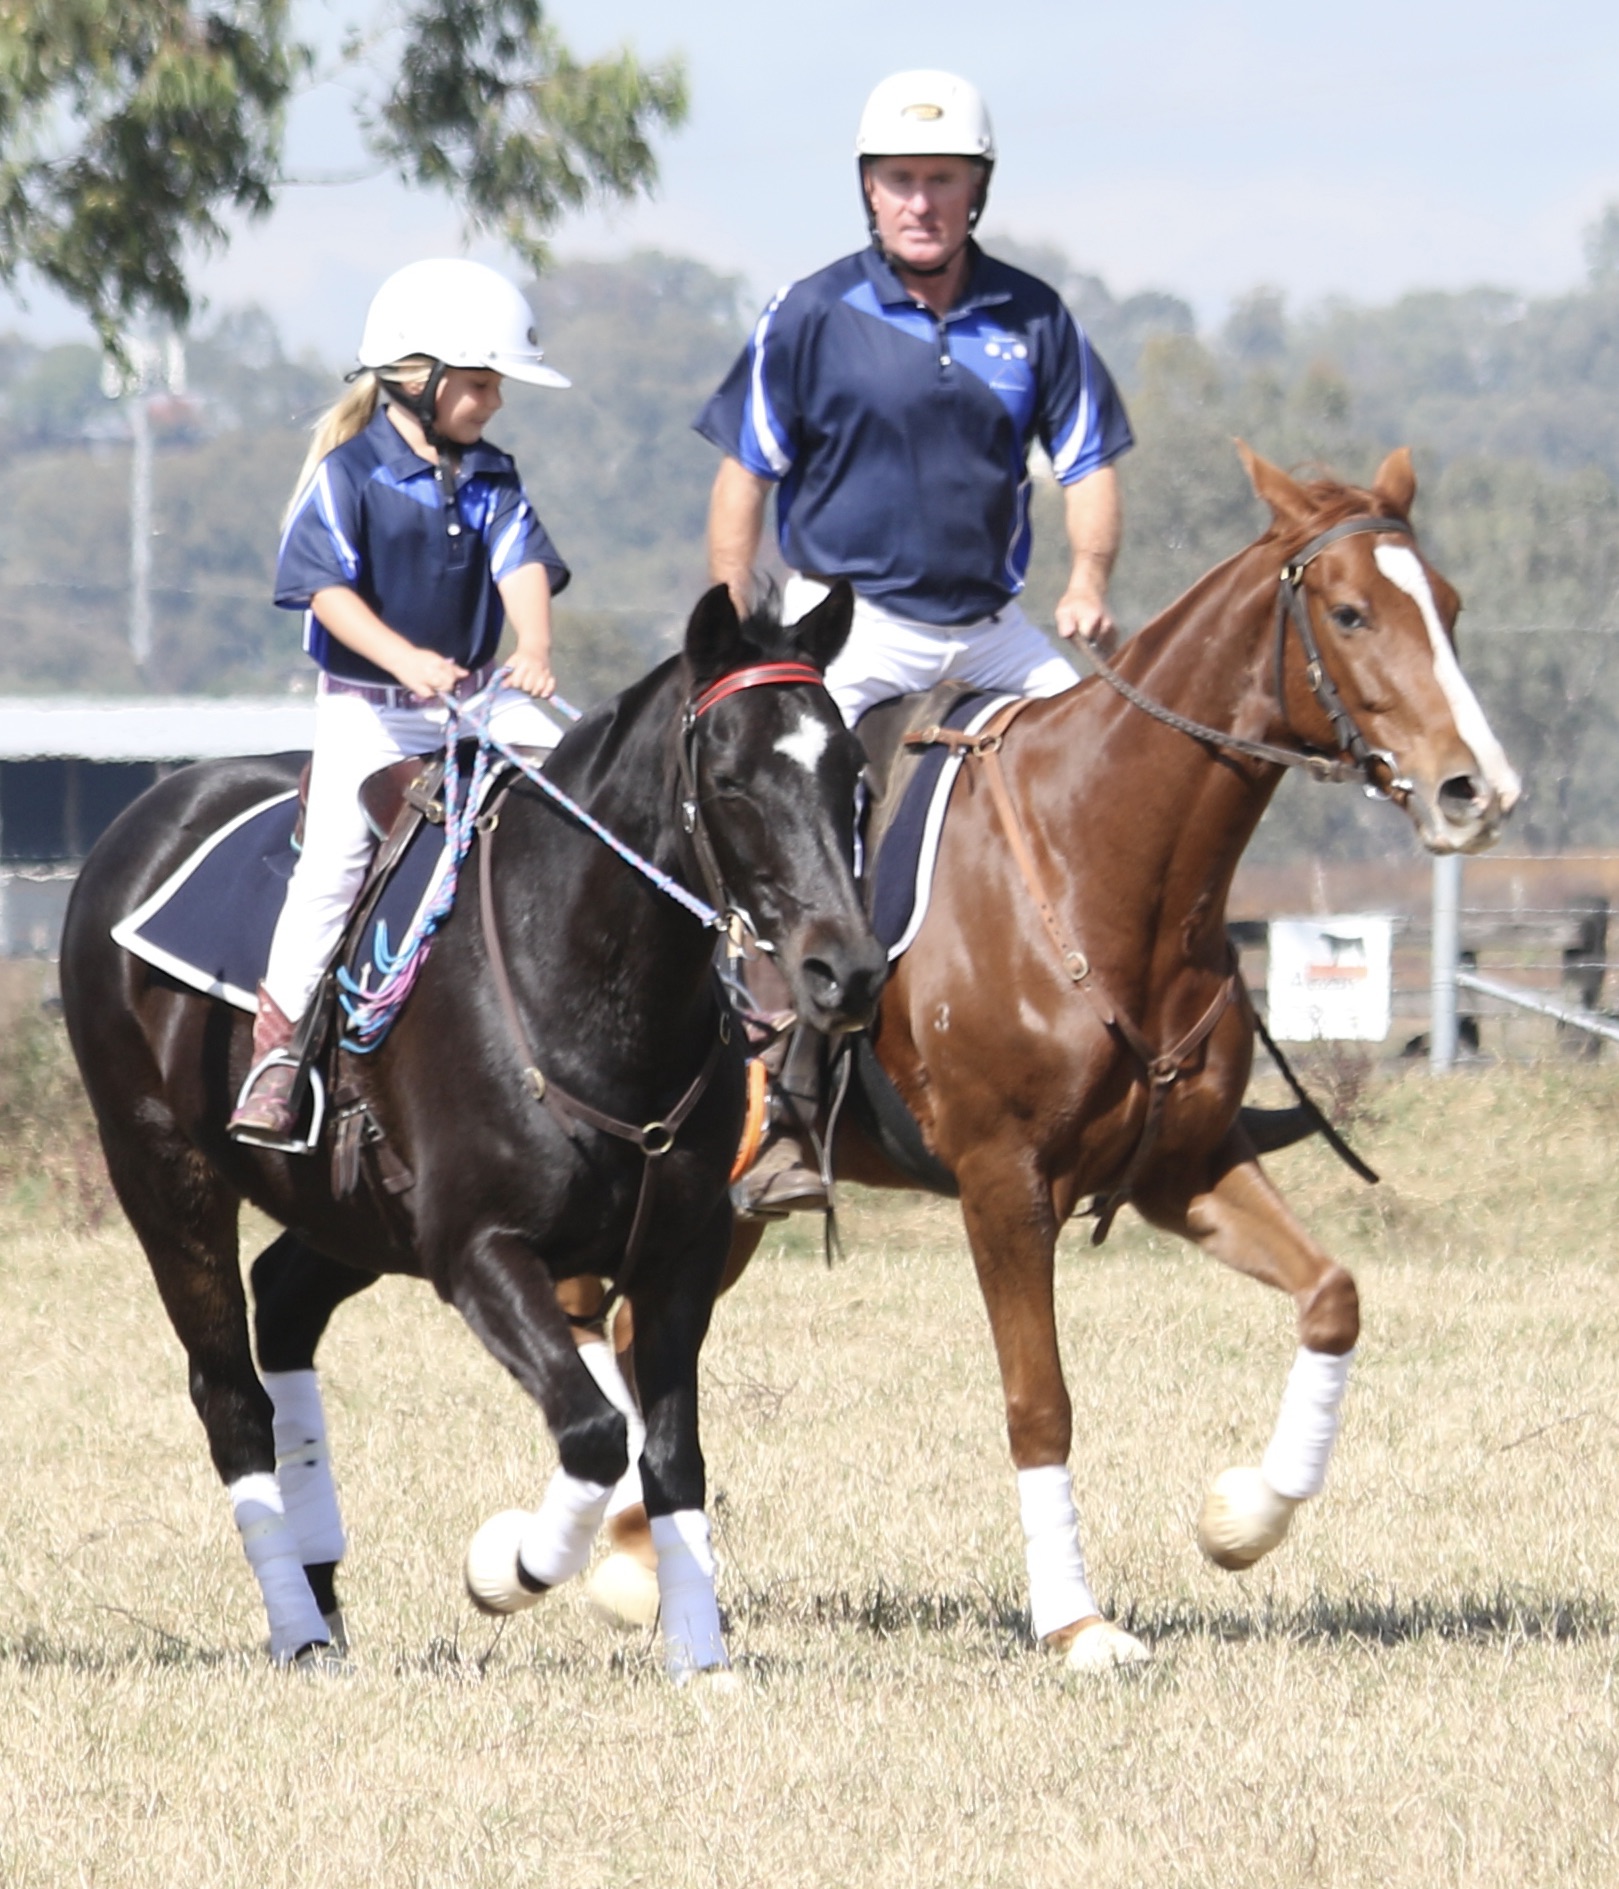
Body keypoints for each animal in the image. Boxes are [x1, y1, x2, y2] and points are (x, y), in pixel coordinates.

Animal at [58, 582, 886, 1679]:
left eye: (852, 774)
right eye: (731, 779)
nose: (848, 970)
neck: (580, 978)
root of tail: (140, 819)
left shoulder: (678, 1256)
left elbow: (671, 1455)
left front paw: (698, 1653)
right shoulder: (480, 1249)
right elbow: (593, 1433)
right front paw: (512, 1566)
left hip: (354, 1217)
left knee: (284, 1308)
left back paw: (322, 1584)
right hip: (163, 1171)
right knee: (230, 1395)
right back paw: (297, 1623)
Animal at [589, 445, 1521, 1670]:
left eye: (1448, 608)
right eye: (1351, 612)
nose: (1476, 789)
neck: (1108, 866)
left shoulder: (1185, 1170)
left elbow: (1331, 1296)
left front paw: (1241, 1517)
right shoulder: (1003, 1184)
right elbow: (1041, 1401)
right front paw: (1074, 1619)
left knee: (627, 1331)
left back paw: (633, 1561)